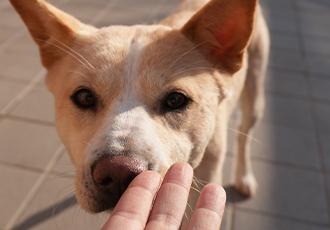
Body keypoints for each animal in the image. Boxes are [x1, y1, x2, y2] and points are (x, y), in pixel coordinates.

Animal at [10, 0, 268, 217]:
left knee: (245, 136)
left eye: (176, 99)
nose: (118, 172)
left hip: (255, 98)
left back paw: (245, 177)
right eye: (84, 97)